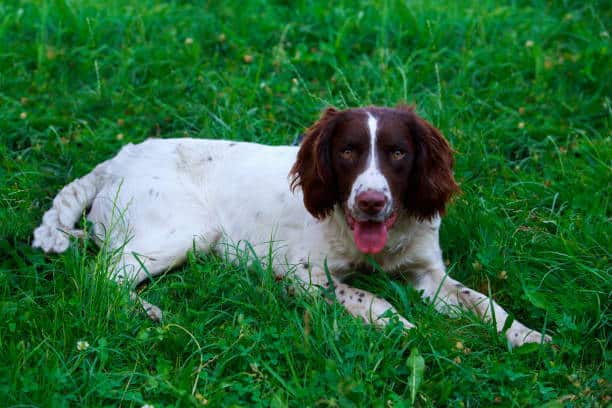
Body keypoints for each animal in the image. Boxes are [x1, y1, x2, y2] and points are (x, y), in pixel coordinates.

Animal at [32, 106, 548, 348]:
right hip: (184, 232)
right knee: (100, 276)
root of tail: (119, 158)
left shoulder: (428, 273)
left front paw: (528, 336)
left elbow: (484, 303)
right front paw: (400, 326)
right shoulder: (302, 273)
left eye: (399, 153)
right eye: (347, 151)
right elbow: (368, 296)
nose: (371, 201)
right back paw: (148, 311)